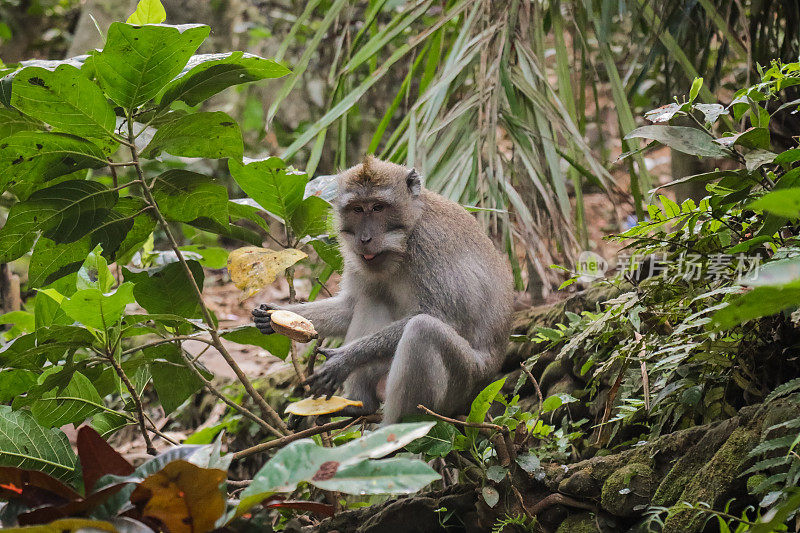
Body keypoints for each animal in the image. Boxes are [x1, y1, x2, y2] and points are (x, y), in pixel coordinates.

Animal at [252, 155, 512, 424]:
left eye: (378, 207)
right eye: (357, 209)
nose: (365, 239)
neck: (406, 236)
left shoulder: (429, 243)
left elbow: (444, 316)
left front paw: (344, 359)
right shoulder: (355, 257)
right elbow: (349, 306)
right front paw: (274, 314)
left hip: (465, 384)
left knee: (423, 331)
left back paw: (397, 430)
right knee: (371, 299)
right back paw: (360, 405)